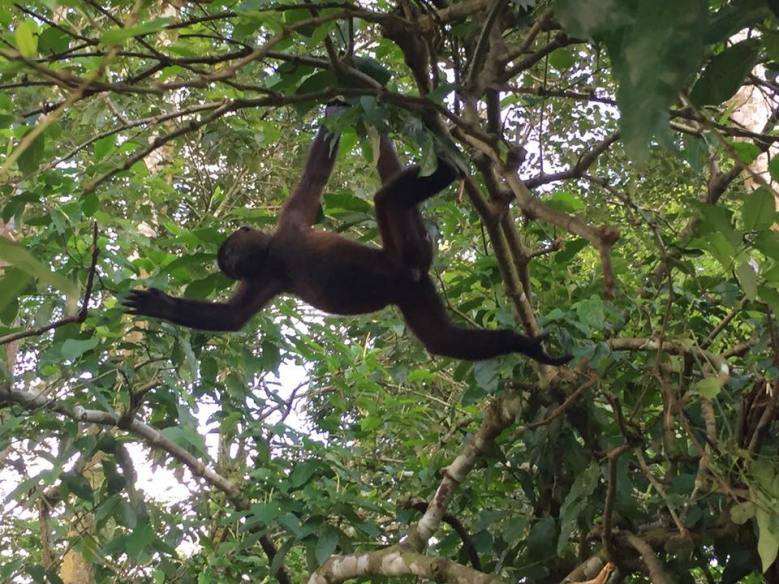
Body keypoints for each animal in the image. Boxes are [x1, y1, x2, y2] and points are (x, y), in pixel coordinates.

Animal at [124, 106, 570, 365]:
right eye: (230, 265)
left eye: (231, 253)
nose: (232, 264)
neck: (275, 253)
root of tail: (408, 270)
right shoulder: (266, 276)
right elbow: (231, 317)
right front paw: (160, 306)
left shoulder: (290, 223)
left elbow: (319, 167)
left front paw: (336, 100)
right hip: (413, 289)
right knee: (443, 341)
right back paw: (522, 346)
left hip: (403, 245)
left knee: (387, 198)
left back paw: (453, 158)